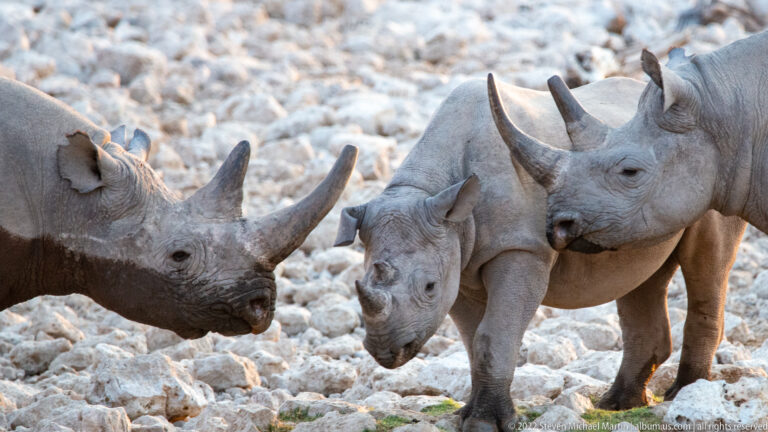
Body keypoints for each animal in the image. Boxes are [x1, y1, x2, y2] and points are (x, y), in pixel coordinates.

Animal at [335, 75, 745, 432]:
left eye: (429, 288)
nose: (384, 351)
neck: (435, 188)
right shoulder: (459, 261)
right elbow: (473, 341)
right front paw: (468, 415)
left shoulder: (521, 248)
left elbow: (493, 337)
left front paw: (486, 423)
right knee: (641, 281)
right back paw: (617, 405)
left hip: (711, 170)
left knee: (707, 266)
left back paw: (684, 396)